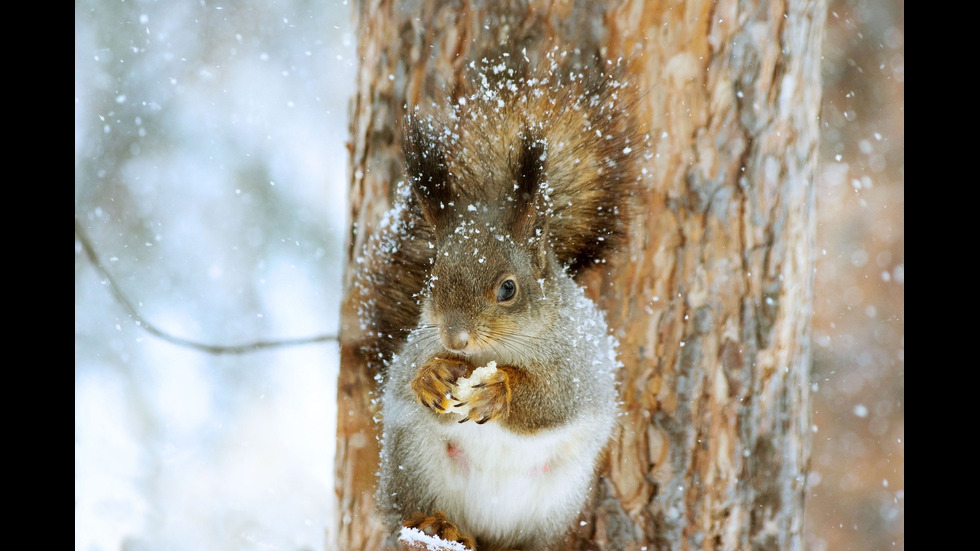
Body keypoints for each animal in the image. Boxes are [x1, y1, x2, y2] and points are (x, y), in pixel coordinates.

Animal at [370, 51, 644, 551]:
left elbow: (555, 400)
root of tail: (486, 530)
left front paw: (501, 390)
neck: (495, 350)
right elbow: (403, 378)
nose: (454, 338)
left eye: (508, 289)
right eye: (432, 279)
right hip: (411, 463)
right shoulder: (415, 346)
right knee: (408, 511)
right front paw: (431, 376)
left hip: (556, 501)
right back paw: (436, 525)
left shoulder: (581, 364)